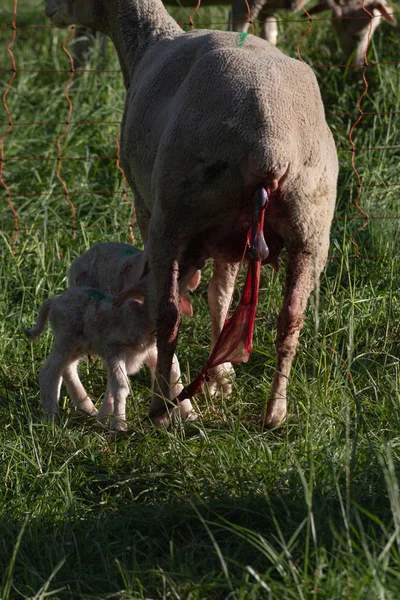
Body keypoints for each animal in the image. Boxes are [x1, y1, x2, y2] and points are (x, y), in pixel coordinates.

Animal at [45, 1, 340, 432]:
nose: (48, 11)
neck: (148, 42)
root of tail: (270, 146)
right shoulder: (230, 238)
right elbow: (221, 296)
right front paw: (222, 379)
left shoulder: (146, 204)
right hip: (311, 226)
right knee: (291, 319)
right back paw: (275, 411)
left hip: (175, 213)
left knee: (168, 313)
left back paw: (161, 407)